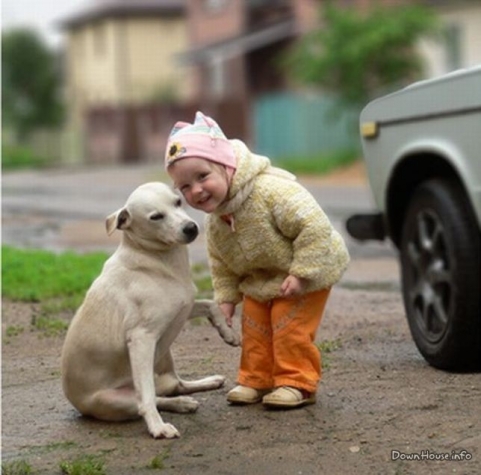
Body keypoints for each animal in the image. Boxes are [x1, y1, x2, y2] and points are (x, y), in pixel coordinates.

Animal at [61, 182, 239, 438]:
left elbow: (210, 304)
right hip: (119, 397)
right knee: (147, 400)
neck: (157, 260)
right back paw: (172, 411)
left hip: (164, 356)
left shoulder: (183, 308)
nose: (191, 228)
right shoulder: (141, 339)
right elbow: (147, 400)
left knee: (172, 387)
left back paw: (198, 390)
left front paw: (228, 332)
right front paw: (157, 427)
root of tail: (76, 402)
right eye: (155, 217)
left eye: (178, 202)